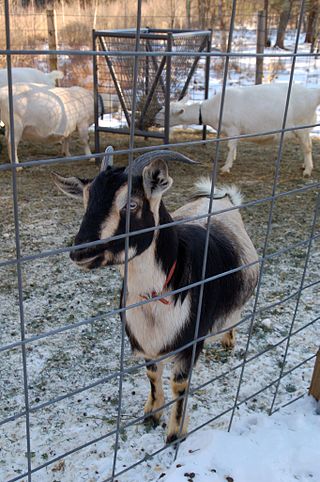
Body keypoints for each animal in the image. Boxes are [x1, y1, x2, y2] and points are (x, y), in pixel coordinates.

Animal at [53, 149, 258, 442]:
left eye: (132, 204)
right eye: (85, 199)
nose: (81, 252)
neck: (155, 297)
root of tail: (219, 197)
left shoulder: (191, 341)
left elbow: (180, 384)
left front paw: (175, 433)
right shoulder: (147, 342)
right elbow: (152, 374)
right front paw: (152, 412)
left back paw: (228, 339)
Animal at [156, 84, 320, 176]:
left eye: (166, 113)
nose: (155, 118)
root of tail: (313, 94)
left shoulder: (232, 127)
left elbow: (230, 146)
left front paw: (226, 167)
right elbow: (233, 147)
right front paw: (232, 159)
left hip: (301, 125)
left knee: (307, 147)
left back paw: (307, 170)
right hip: (305, 128)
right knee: (306, 145)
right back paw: (305, 165)